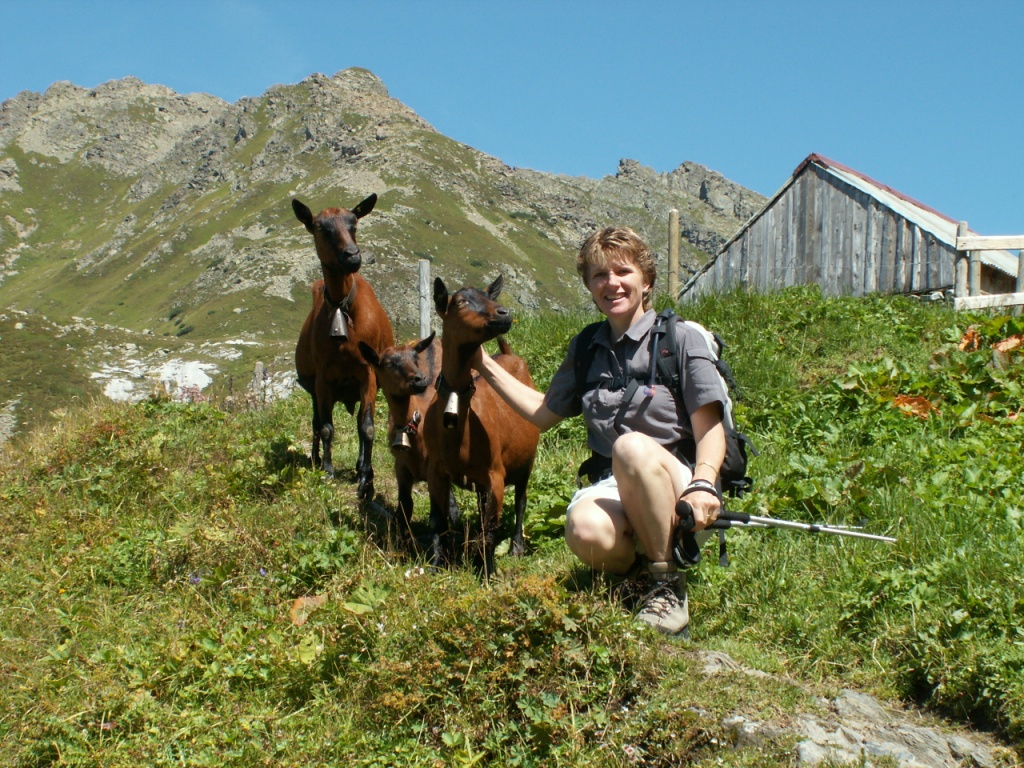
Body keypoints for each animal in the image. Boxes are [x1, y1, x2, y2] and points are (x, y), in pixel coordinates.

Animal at [296, 195, 395, 501]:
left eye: (354, 224)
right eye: (320, 228)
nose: (352, 256)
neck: (343, 307)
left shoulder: (368, 374)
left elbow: (367, 427)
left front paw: (366, 479)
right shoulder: (322, 378)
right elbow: (327, 427)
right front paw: (327, 471)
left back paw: (359, 465)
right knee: (317, 423)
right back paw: (316, 459)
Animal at [419, 276, 540, 577]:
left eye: (489, 296)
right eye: (461, 302)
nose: (504, 313)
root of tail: (510, 355)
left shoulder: (495, 475)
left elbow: (490, 529)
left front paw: (487, 571)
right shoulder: (436, 470)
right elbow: (437, 520)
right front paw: (437, 563)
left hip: (527, 462)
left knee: (521, 501)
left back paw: (517, 546)